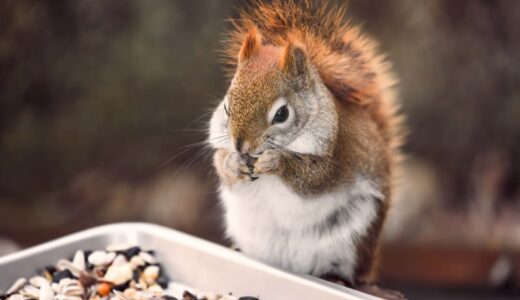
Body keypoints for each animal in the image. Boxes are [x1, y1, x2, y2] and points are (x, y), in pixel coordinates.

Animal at [208, 0, 406, 286]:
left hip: (353, 242)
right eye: (226, 107)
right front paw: (232, 163)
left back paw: (336, 278)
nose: (241, 146)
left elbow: (314, 178)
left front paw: (276, 162)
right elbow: (219, 162)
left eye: (282, 114)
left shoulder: (337, 157)